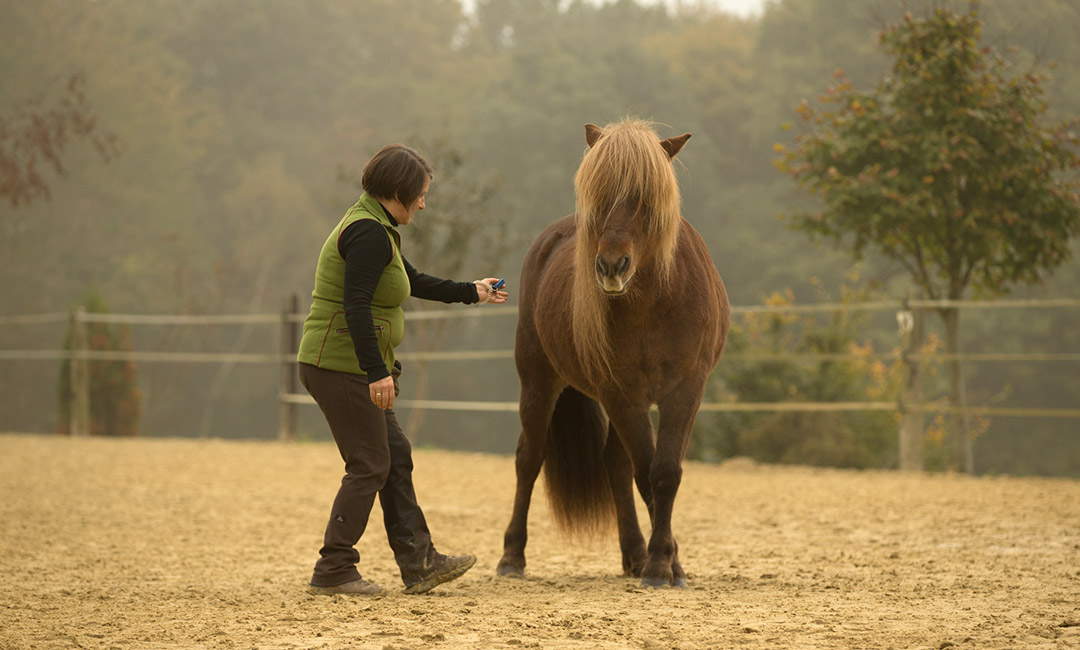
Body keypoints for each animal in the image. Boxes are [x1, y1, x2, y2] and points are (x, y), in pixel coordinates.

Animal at [501, 117, 730, 587]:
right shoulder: (623, 394)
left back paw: (634, 554)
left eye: (646, 200)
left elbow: (665, 473)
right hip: (538, 381)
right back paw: (512, 556)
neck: (654, 303)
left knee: (614, 465)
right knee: (529, 458)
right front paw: (663, 564)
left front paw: (664, 562)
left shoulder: (686, 390)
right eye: (600, 196)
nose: (610, 266)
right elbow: (647, 473)